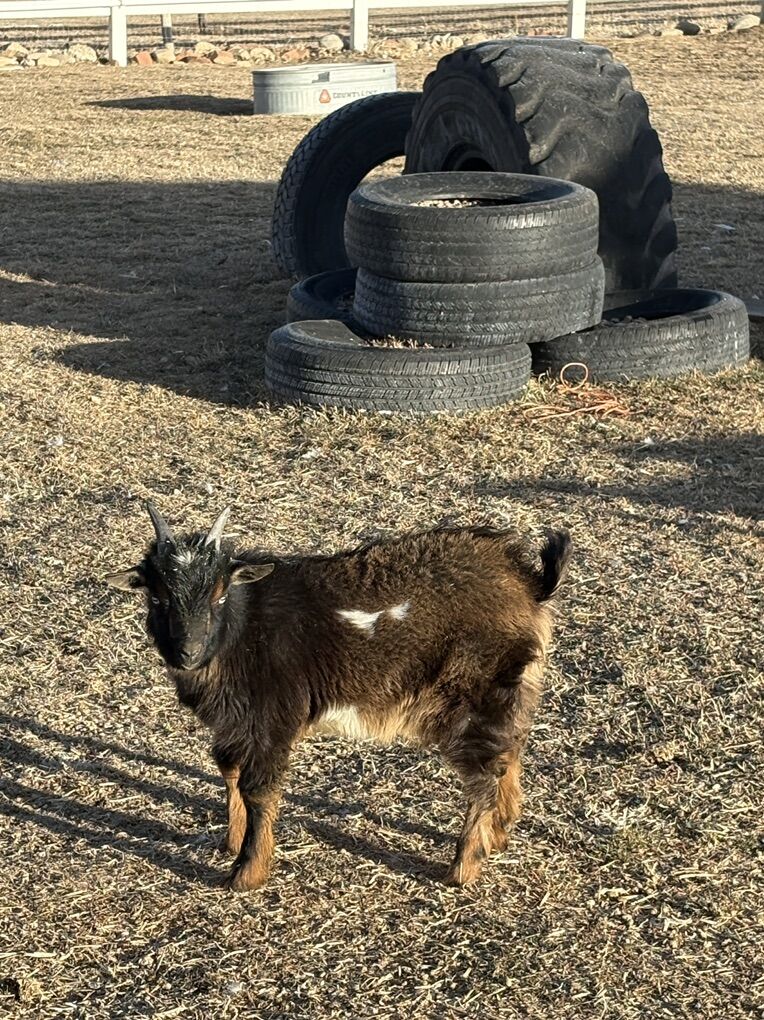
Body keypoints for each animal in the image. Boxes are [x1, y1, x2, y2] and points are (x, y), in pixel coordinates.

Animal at [107, 503, 571, 892]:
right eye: (157, 595)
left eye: (220, 594)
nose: (186, 652)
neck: (243, 630)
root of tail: (530, 583)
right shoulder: (235, 724)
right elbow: (229, 770)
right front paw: (231, 841)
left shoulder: (272, 719)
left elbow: (259, 789)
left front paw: (246, 874)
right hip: (515, 689)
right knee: (511, 748)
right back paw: (500, 833)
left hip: (472, 697)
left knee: (483, 776)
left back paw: (463, 867)